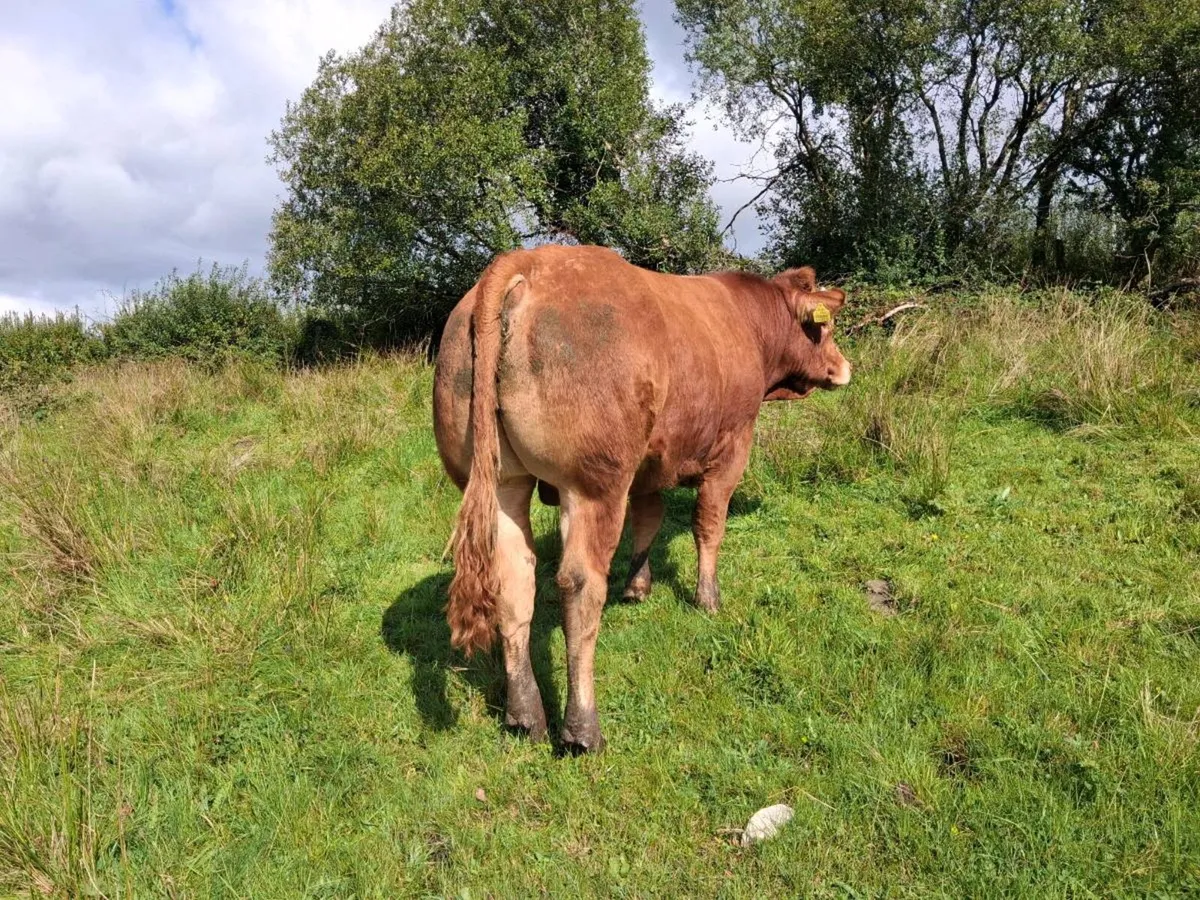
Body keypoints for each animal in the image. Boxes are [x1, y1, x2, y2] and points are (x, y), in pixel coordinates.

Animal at [432, 245, 850, 752]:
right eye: (824, 328)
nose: (844, 367)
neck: (750, 323)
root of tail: (529, 260)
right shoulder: (733, 444)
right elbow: (708, 523)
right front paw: (708, 598)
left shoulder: (652, 461)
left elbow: (649, 518)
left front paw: (638, 586)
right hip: (592, 485)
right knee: (580, 586)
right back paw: (582, 728)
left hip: (501, 481)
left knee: (514, 579)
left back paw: (525, 715)